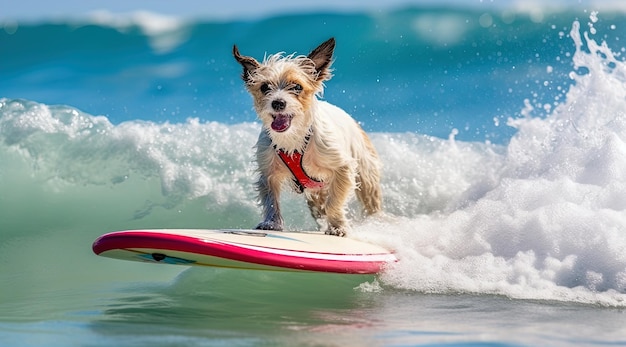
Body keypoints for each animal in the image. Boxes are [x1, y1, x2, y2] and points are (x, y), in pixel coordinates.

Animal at [234, 38, 380, 238]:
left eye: (297, 87)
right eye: (265, 87)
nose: (278, 103)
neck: (293, 138)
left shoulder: (342, 168)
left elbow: (334, 203)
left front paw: (338, 227)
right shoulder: (268, 173)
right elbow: (271, 200)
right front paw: (272, 223)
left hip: (366, 177)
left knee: (369, 201)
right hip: (315, 195)